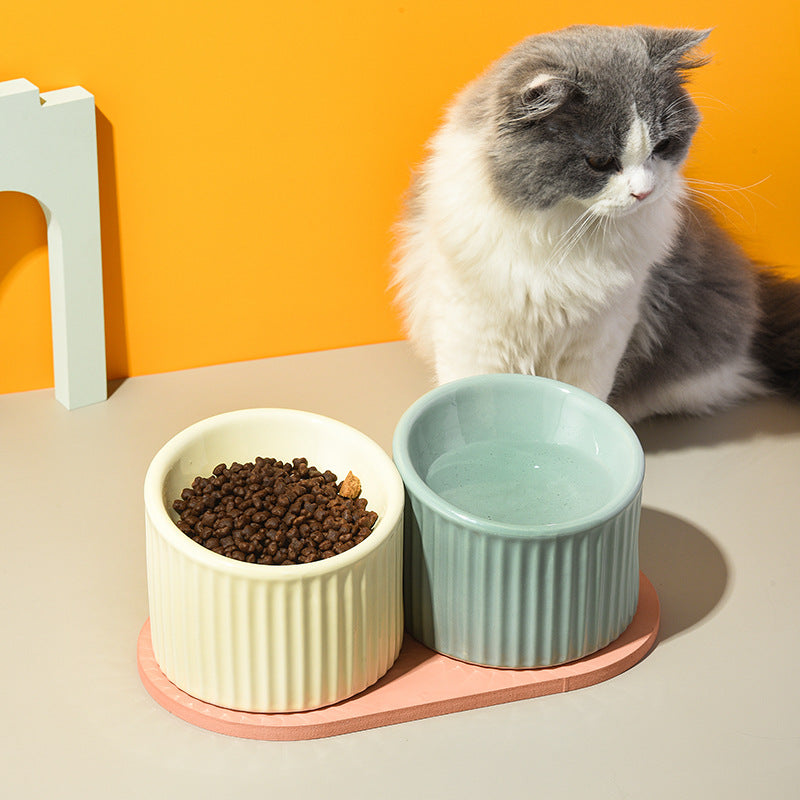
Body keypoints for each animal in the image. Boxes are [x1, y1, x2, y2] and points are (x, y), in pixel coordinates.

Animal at [394, 25, 800, 422]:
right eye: (600, 162)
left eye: (663, 147)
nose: (644, 192)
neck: (563, 232)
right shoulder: (471, 326)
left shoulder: (603, 335)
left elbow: (587, 396)